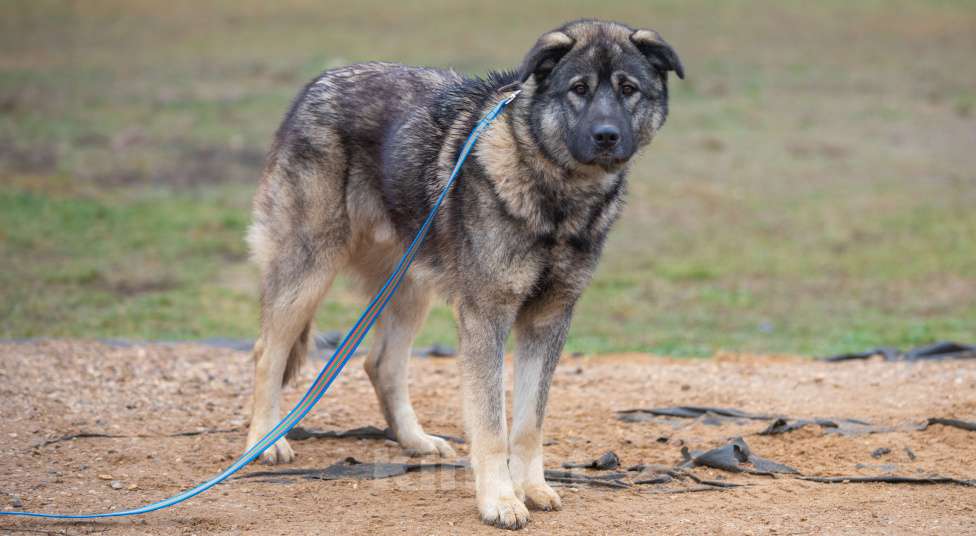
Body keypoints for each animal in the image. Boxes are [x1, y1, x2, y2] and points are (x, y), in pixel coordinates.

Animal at [248, 19, 684, 528]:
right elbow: (492, 424)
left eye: (627, 89)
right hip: (309, 272)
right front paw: (500, 500)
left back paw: (415, 441)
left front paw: (532, 489)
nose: (607, 135)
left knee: (381, 364)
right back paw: (266, 441)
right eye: (579, 89)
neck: (556, 197)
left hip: (408, 288)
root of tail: (320, 82)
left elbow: (529, 422)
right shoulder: (486, 318)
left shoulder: (548, 321)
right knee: (266, 353)